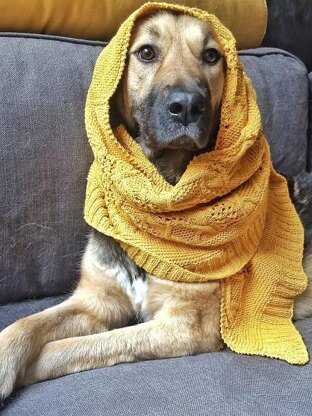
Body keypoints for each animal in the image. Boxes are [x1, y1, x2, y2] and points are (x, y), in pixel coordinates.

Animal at [0, 9, 312, 402]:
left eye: (211, 56)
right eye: (146, 52)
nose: (188, 106)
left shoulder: (182, 325)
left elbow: (71, 347)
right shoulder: (96, 301)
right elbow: (26, 323)